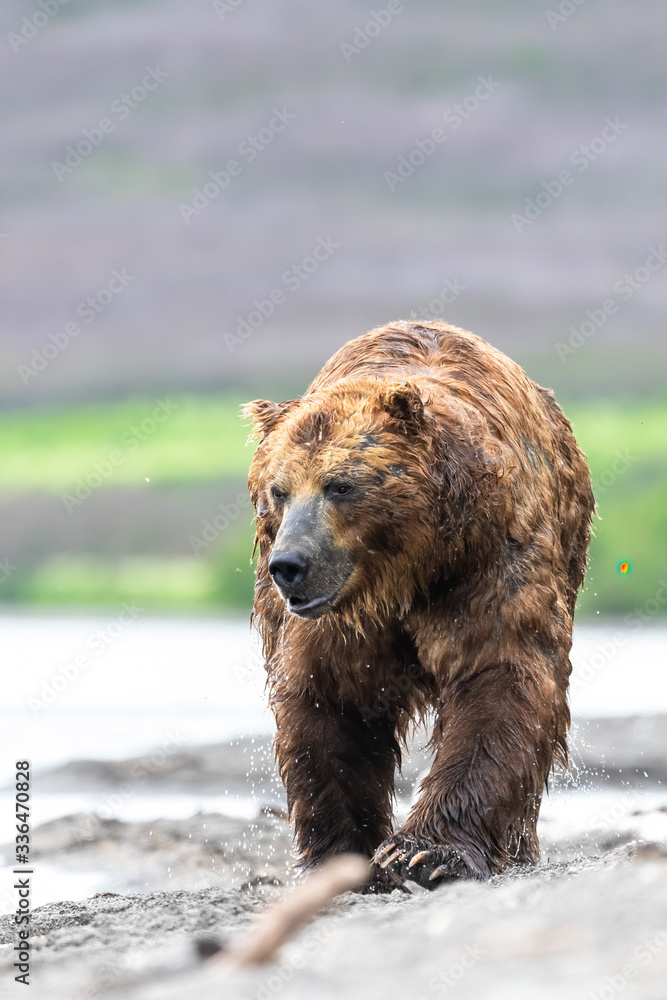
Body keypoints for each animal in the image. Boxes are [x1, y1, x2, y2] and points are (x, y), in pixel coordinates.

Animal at [245, 320, 594, 890]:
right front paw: (344, 855)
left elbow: (500, 675)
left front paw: (426, 853)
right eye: (279, 490)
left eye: (340, 485)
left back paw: (519, 850)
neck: (407, 570)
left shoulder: (489, 561)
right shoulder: (339, 617)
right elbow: (330, 698)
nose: (289, 565)